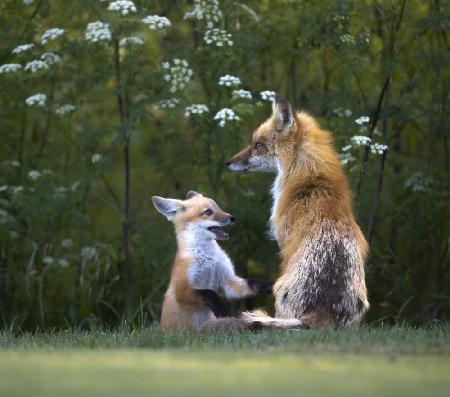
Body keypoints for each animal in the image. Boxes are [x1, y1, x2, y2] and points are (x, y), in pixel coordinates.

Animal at [151, 190, 270, 330]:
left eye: (218, 208)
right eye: (207, 212)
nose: (232, 218)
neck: (210, 259)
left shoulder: (226, 282)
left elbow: (253, 283)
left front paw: (271, 286)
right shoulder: (181, 291)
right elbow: (209, 293)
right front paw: (222, 309)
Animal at [215, 93, 370, 328]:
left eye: (258, 145)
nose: (228, 162)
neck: (312, 181)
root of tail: (320, 311)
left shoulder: (284, 241)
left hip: (279, 289)